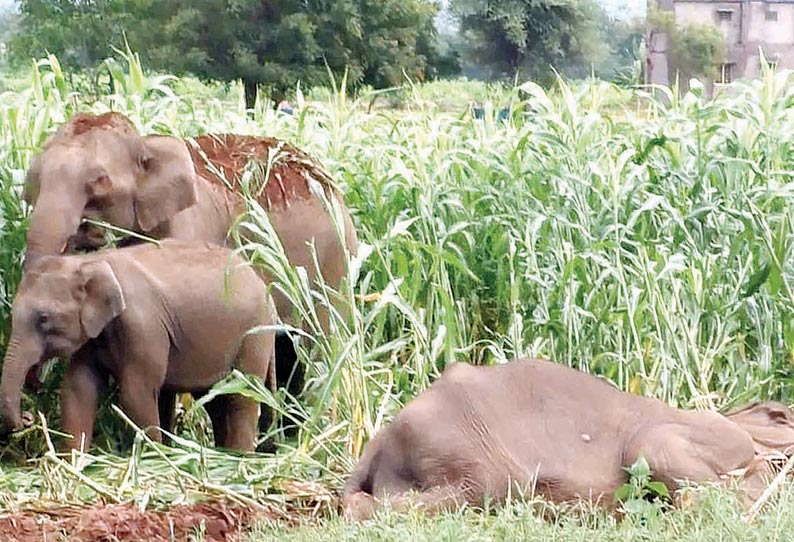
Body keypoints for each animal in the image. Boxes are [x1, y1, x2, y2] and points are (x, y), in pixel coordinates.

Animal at [0, 241, 276, 450]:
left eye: (43, 318)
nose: (27, 418)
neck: (92, 262)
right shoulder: (92, 333)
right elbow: (78, 389)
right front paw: (74, 462)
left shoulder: (143, 325)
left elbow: (136, 394)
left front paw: (154, 457)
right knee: (213, 399)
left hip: (254, 335)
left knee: (242, 395)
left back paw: (239, 457)